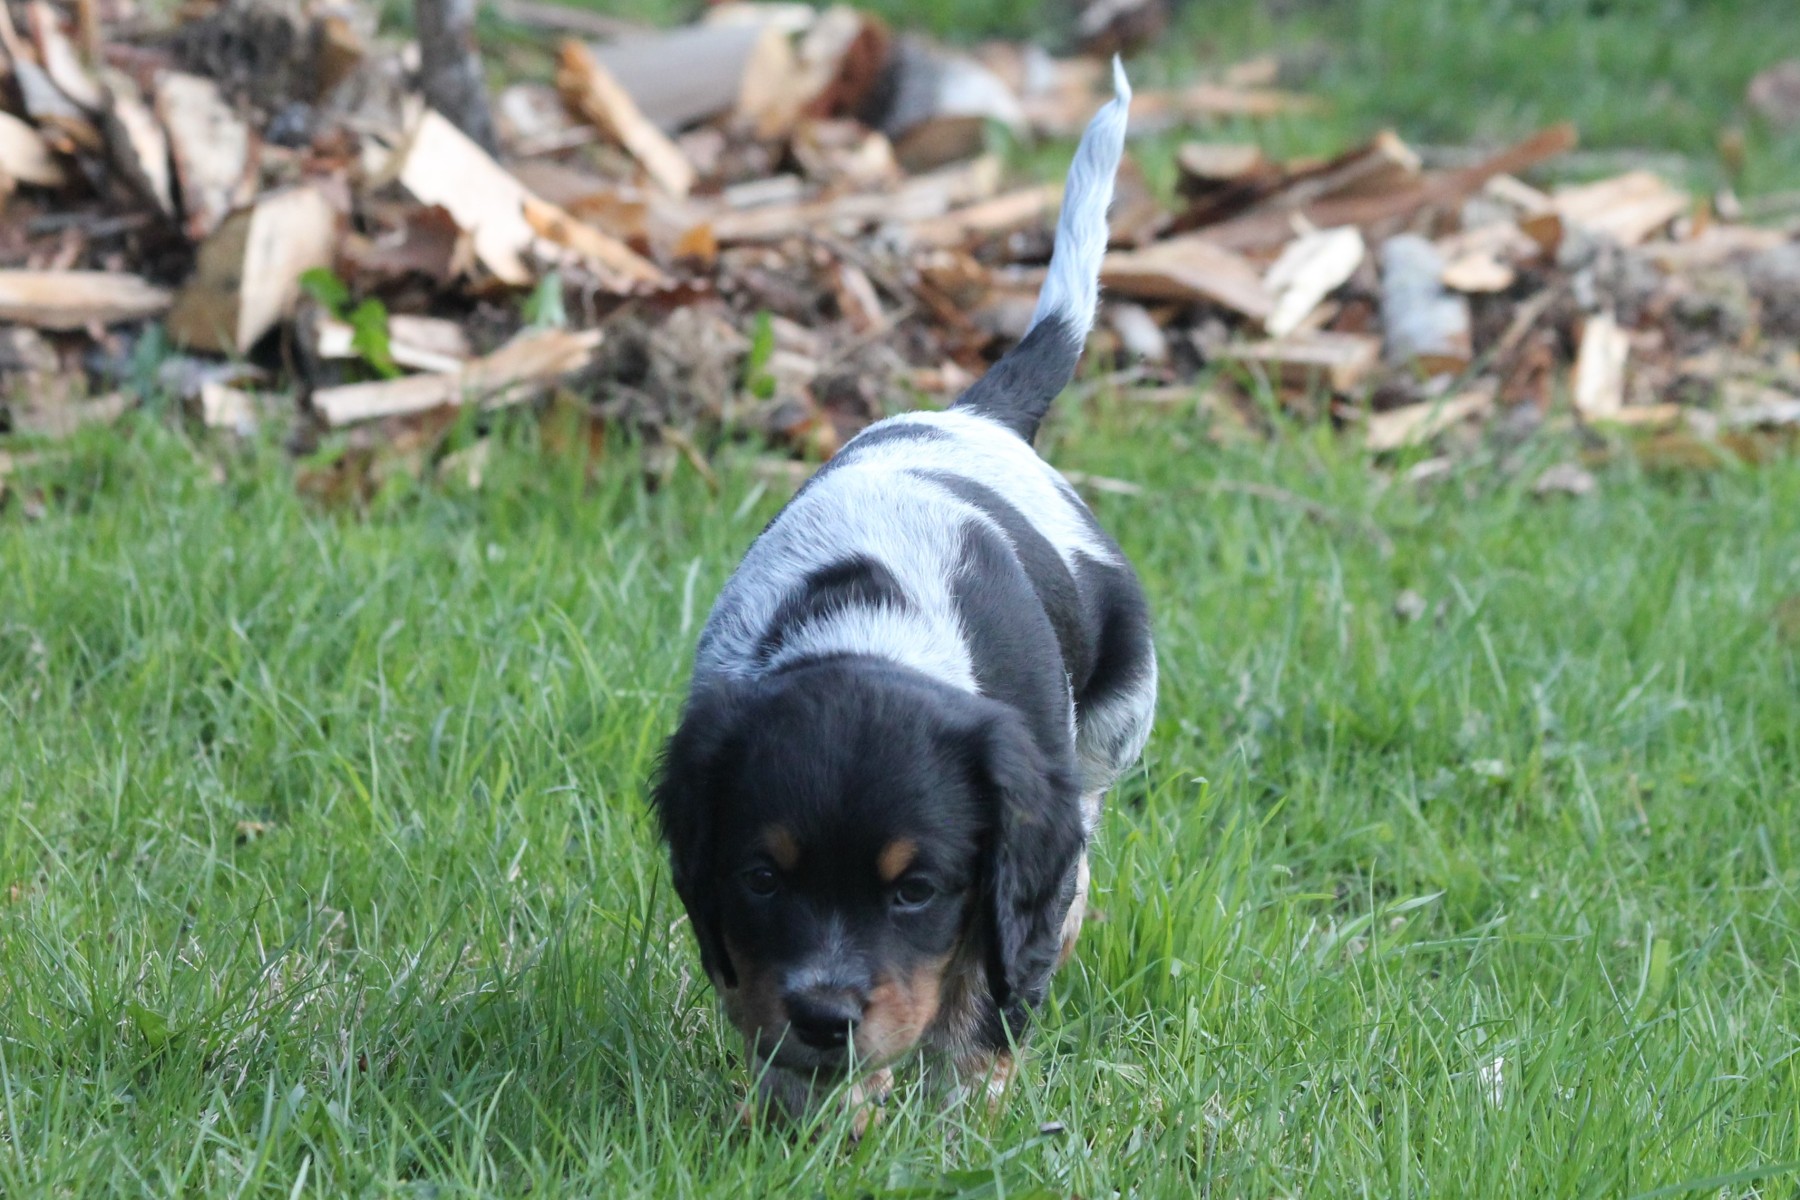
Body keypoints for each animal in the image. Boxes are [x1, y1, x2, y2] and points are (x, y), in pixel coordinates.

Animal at [651, 60, 1153, 1125]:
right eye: (763, 877)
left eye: (915, 890)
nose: (824, 1018)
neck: (878, 632)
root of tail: (978, 414)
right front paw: (815, 1115)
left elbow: (986, 993)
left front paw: (958, 1125)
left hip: (1114, 730)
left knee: (1079, 858)